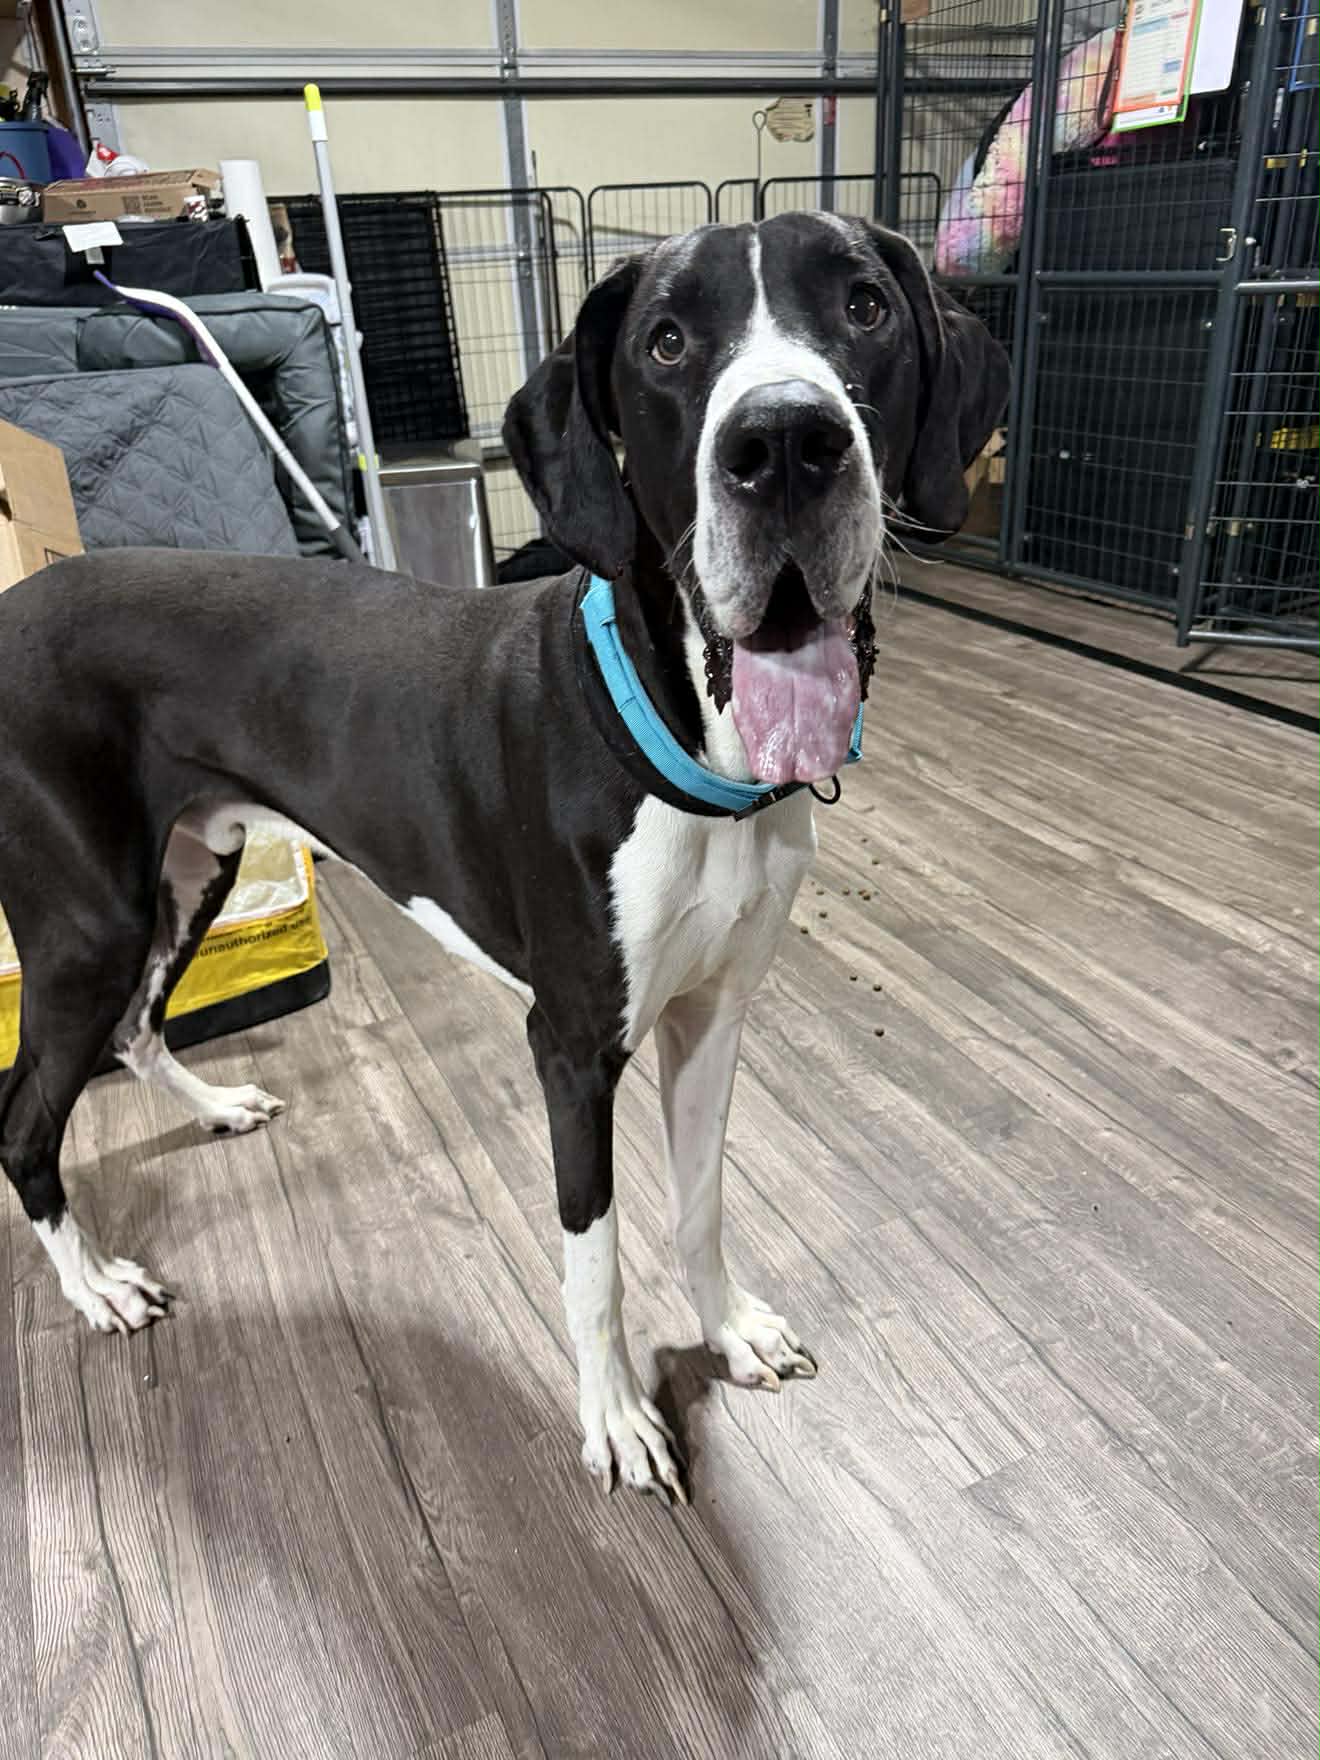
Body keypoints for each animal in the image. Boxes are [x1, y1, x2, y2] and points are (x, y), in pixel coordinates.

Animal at [0, 213, 1007, 1500]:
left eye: (867, 306)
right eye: (667, 341)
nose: (786, 440)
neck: (689, 739)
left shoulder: (713, 1013)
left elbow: (701, 1199)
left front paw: (730, 1327)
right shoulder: (571, 1046)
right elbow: (596, 1255)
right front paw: (617, 1416)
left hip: (188, 873)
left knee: (137, 1027)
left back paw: (216, 1106)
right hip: (88, 923)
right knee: (28, 1119)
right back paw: (95, 1284)